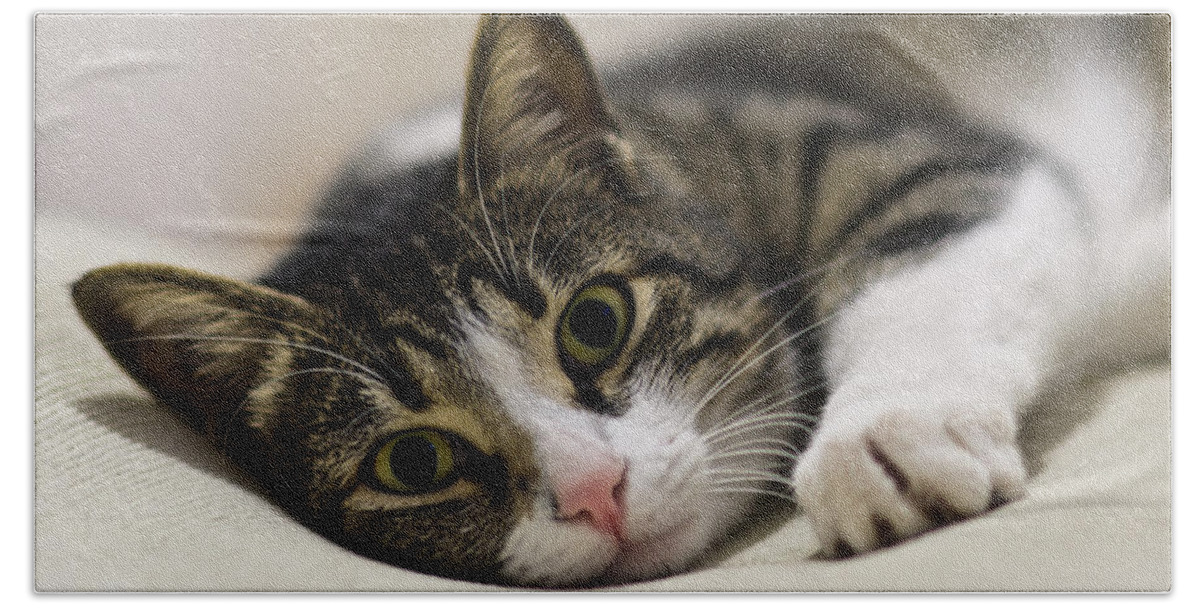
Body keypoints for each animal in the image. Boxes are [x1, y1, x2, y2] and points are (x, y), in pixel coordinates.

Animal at [70, 13, 1166, 585]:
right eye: (414, 459)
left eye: (595, 322)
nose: (595, 491)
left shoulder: (882, 151)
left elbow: (940, 246)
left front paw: (887, 436)